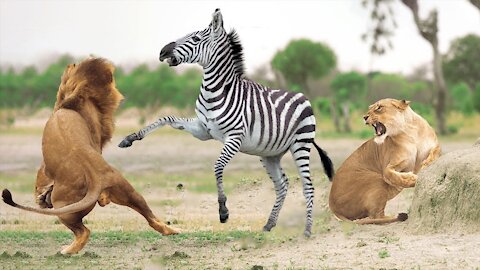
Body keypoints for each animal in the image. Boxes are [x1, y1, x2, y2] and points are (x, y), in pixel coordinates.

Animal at [1, 58, 178, 254]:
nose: (70, 65)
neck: (80, 94)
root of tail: (95, 179)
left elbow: (41, 176)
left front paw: (41, 196)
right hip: (128, 193)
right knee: (149, 217)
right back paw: (172, 230)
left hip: (64, 208)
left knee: (84, 232)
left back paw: (67, 250)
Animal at [119, 8, 334, 236]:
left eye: (195, 38)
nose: (162, 52)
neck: (216, 91)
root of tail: (304, 97)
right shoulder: (202, 130)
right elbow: (166, 118)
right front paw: (130, 138)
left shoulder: (234, 138)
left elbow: (218, 167)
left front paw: (223, 211)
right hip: (270, 154)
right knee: (282, 184)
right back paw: (269, 224)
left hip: (300, 144)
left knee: (308, 186)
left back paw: (307, 230)